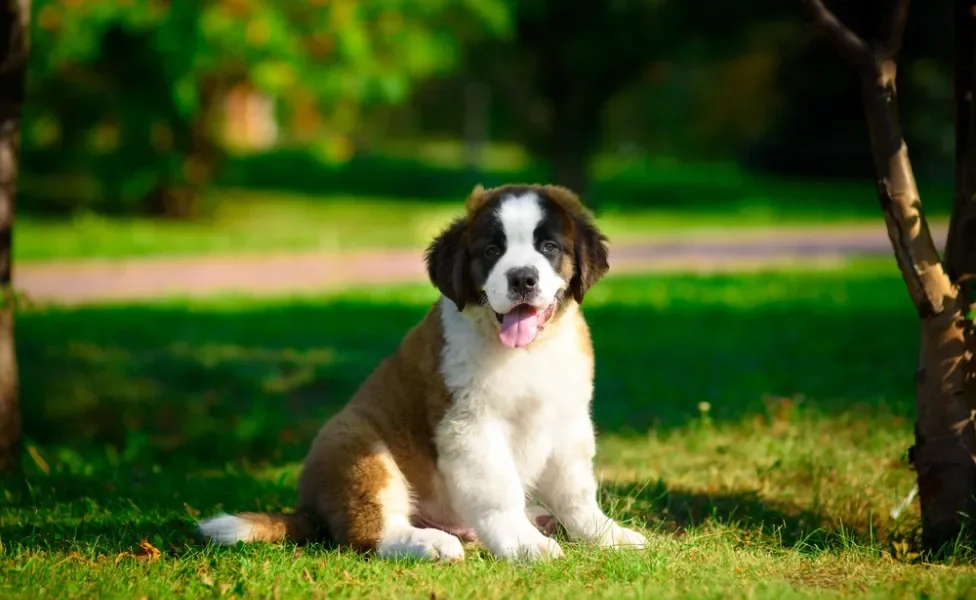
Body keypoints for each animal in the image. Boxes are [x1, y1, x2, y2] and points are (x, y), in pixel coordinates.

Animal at [197, 183, 648, 564]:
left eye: (549, 247)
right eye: (491, 251)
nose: (522, 277)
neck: (527, 352)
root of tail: (306, 508)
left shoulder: (567, 419)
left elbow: (576, 491)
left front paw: (606, 534)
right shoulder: (470, 426)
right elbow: (498, 491)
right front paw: (523, 544)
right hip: (355, 442)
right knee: (368, 532)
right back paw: (430, 543)